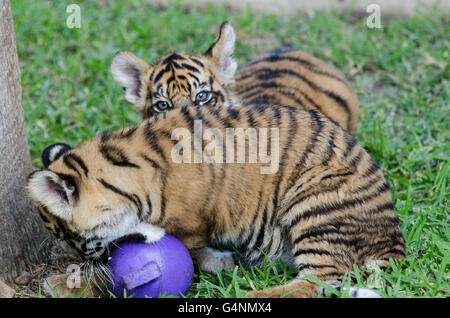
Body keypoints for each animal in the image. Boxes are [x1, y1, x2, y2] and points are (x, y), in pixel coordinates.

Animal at [27, 103, 404, 296]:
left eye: (71, 239)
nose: (80, 258)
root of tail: (394, 240)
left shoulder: (190, 224)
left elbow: (114, 270)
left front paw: (64, 282)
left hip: (313, 200)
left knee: (318, 280)